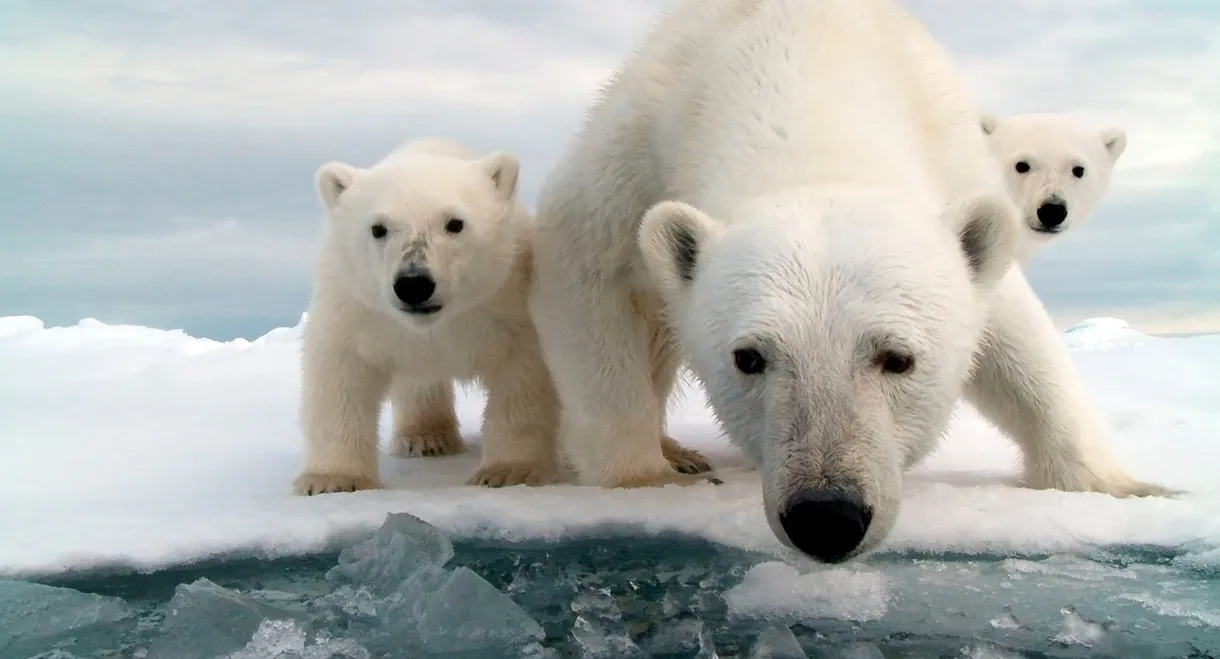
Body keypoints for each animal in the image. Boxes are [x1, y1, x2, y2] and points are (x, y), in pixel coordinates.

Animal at [292, 138, 563, 495]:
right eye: (378, 228)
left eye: (455, 223)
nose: (414, 283)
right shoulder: (358, 310)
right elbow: (341, 374)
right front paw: (331, 479)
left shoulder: (507, 301)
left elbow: (522, 375)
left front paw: (509, 471)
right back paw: (426, 438)